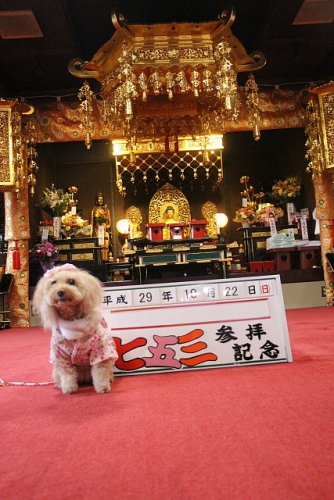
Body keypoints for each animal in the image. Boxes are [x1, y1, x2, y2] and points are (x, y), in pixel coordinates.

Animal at [32, 264, 118, 396]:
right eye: (53, 282)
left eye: (71, 281)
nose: (60, 292)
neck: (72, 320)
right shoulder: (61, 356)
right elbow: (67, 375)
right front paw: (69, 388)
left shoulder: (100, 352)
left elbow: (100, 372)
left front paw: (103, 387)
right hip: (55, 371)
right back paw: (60, 385)